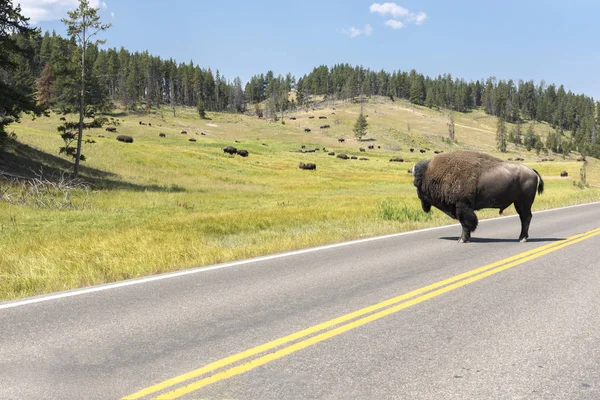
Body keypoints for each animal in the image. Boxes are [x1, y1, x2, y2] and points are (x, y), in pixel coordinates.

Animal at [412, 151, 544, 242]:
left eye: (417, 183)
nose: (419, 198)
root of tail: (532, 171)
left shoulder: (462, 207)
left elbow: (466, 223)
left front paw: (462, 239)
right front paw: (467, 238)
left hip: (523, 203)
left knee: (526, 218)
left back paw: (522, 238)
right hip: (518, 203)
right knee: (524, 218)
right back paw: (522, 237)